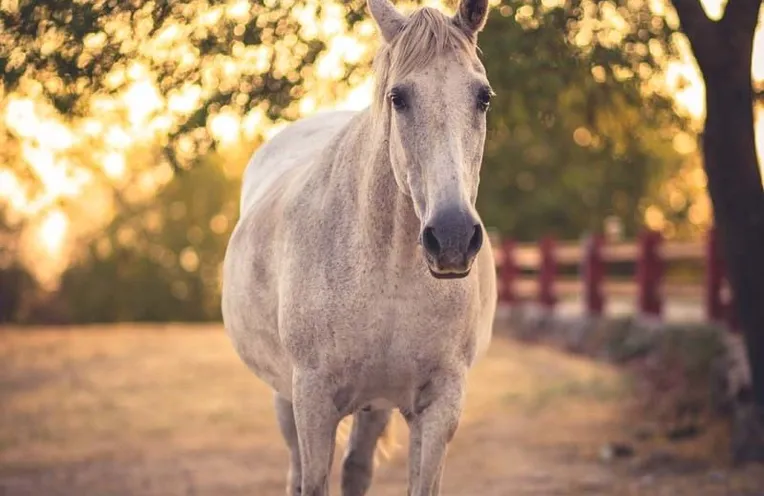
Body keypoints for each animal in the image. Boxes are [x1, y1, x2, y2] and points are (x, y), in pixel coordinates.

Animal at [222, 1, 496, 494]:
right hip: (284, 397)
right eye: (398, 97)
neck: (390, 274)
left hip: (377, 404)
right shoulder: (312, 403)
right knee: (296, 474)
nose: (452, 237)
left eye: (482, 97)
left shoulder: (441, 403)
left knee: (356, 469)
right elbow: (312, 482)